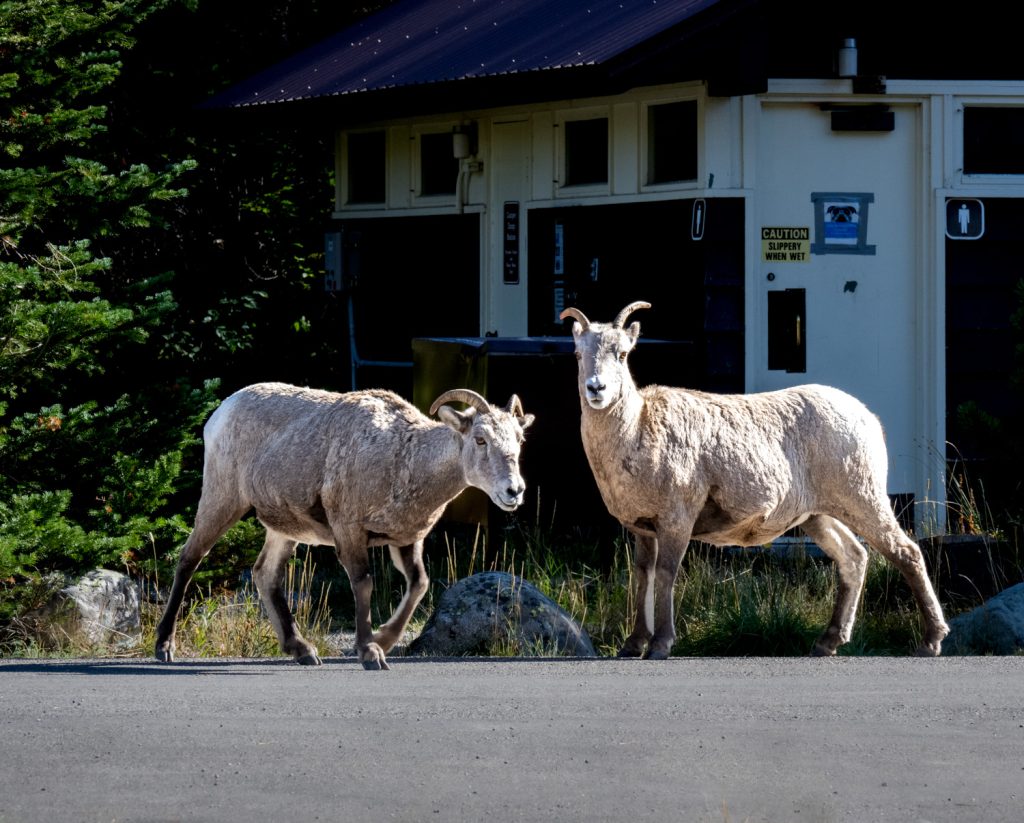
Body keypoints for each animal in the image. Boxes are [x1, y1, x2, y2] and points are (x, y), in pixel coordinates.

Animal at [155, 384, 536, 667]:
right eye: (480, 439)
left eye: (519, 440)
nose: (514, 491)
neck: (405, 458)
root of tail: (219, 413)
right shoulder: (349, 530)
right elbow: (364, 584)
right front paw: (370, 653)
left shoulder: (405, 540)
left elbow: (419, 585)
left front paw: (384, 641)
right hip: (222, 499)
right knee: (190, 558)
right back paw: (164, 648)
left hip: (283, 529)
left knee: (265, 574)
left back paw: (303, 651)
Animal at [565, 300, 946, 655]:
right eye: (578, 353)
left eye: (622, 353)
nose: (596, 388)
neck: (638, 429)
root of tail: (868, 417)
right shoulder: (643, 528)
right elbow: (642, 577)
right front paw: (633, 646)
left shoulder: (676, 519)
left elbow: (665, 575)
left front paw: (660, 645)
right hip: (818, 515)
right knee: (854, 558)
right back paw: (827, 643)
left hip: (863, 497)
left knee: (906, 552)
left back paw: (930, 641)